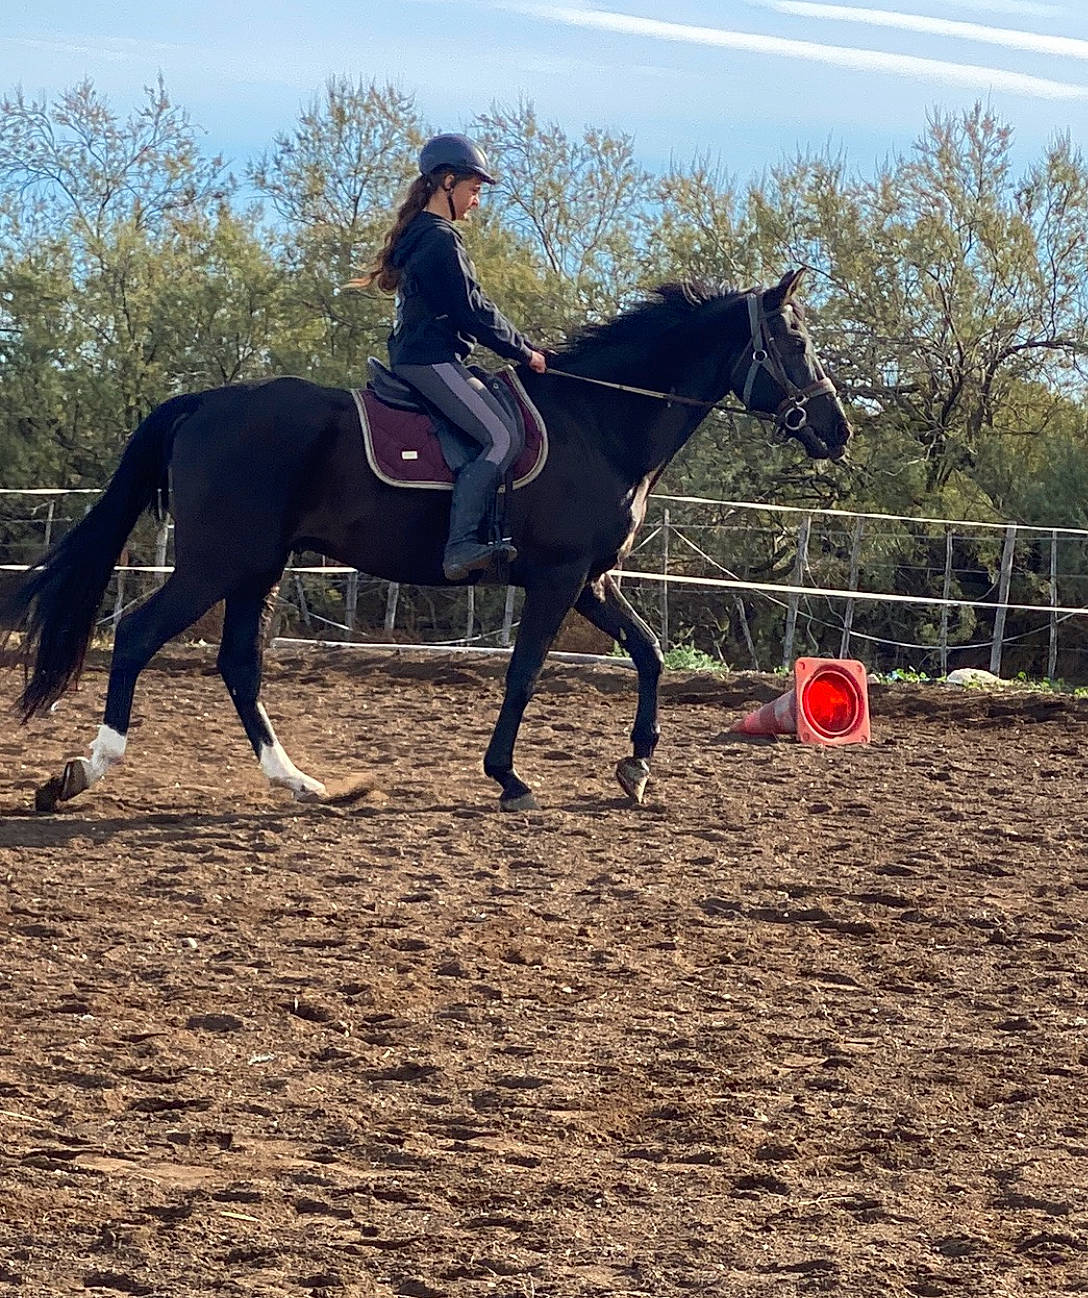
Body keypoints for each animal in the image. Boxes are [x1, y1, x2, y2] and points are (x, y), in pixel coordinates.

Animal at [5, 268, 851, 814]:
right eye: (793, 341)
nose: (838, 430)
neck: (599, 421)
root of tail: (207, 401)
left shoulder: (590, 579)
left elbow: (649, 655)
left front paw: (637, 767)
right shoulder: (558, 577)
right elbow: (525, 674)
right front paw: (509, 778)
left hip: (257, 568)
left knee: (238, 666)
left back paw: (302, 784)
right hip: (217, 563)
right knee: (138, 635)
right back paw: (84, 771)